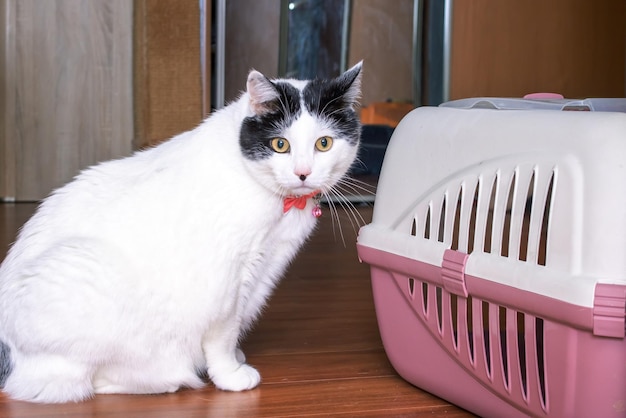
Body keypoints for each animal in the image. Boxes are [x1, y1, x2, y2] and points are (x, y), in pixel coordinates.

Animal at [0, 61, 360, 402]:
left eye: (324, 144)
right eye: (280, 145)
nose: (303, 173)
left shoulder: (264, 269)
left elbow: (237, 323)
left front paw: (234, 358)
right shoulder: (229, 277)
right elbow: (224, 331)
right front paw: (229, 374)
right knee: (82, 383)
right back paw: (169, 379)